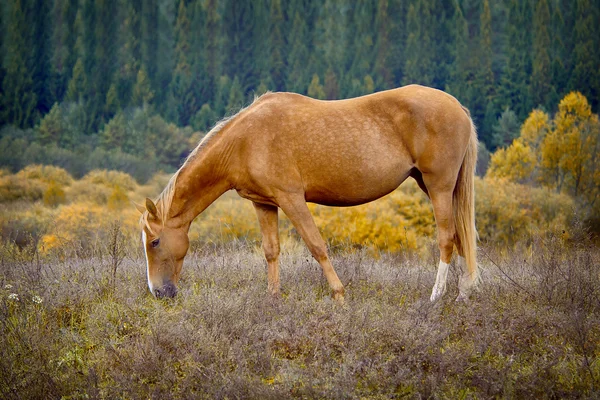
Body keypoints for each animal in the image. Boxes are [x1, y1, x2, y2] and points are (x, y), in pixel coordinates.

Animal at [136, 84, 478, 304]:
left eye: (154, 242)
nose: (158, 292)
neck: (244, 141)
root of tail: (458, 107)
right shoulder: (264, 204)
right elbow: (271, 250)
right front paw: (273, 298)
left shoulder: (291, 199)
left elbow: (317, 246)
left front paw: (339, 296)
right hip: (433, 186)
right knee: (461, 236)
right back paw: (463, 293)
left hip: (438, 186)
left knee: (446, 238)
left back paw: (436, 297)